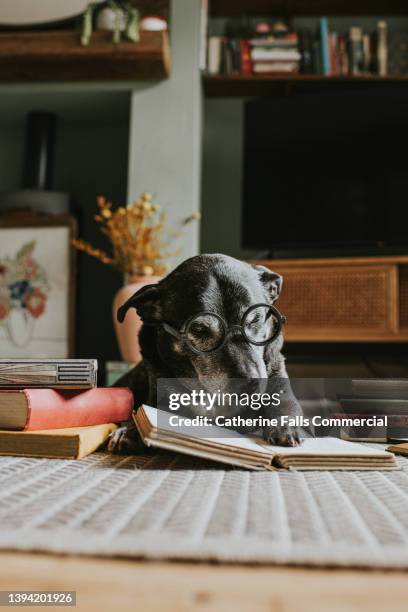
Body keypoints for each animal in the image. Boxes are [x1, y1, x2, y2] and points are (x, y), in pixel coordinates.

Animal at [108, 253, 302, 454]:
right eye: (199, 329)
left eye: (255, 320)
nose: (251, 383)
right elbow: (146, 412)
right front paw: (131, 430)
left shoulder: (277, 380)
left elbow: (284, 404)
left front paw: (284, 425)